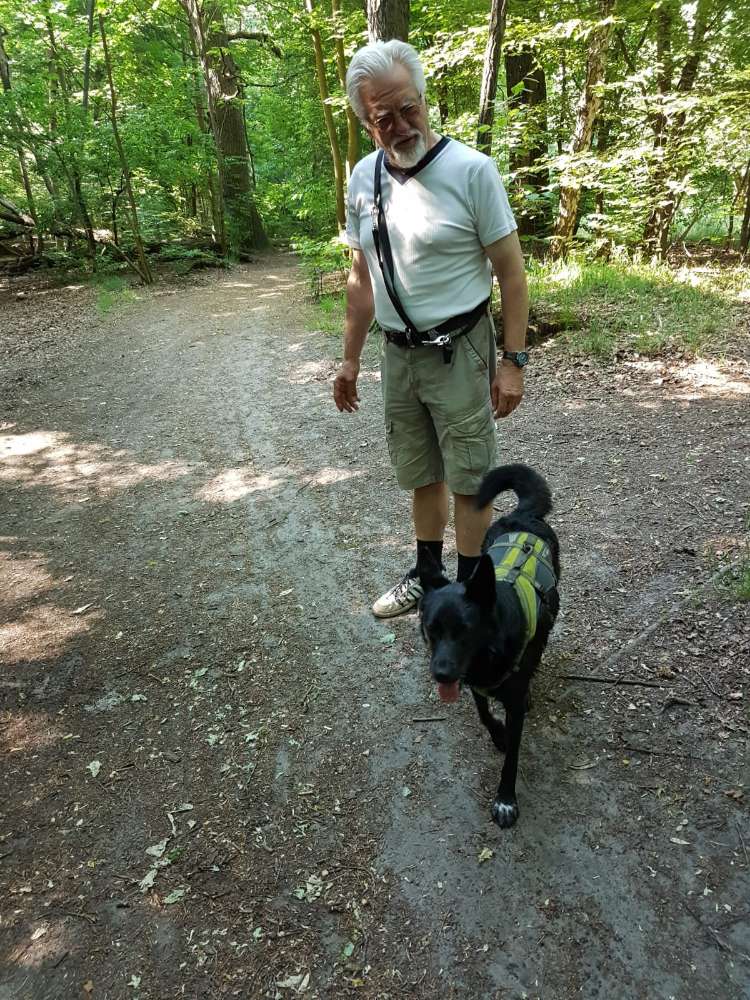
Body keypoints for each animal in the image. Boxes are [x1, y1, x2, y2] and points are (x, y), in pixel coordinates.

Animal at [420, 464, 560, 824]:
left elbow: (512, 757)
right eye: (431, 629)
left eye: (465, 630)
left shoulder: (510, 701)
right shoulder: (473, 682)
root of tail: (522, 516)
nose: (441, 674)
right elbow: (483, 712)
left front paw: (506, 800)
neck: (489, 651)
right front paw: (497, 733)